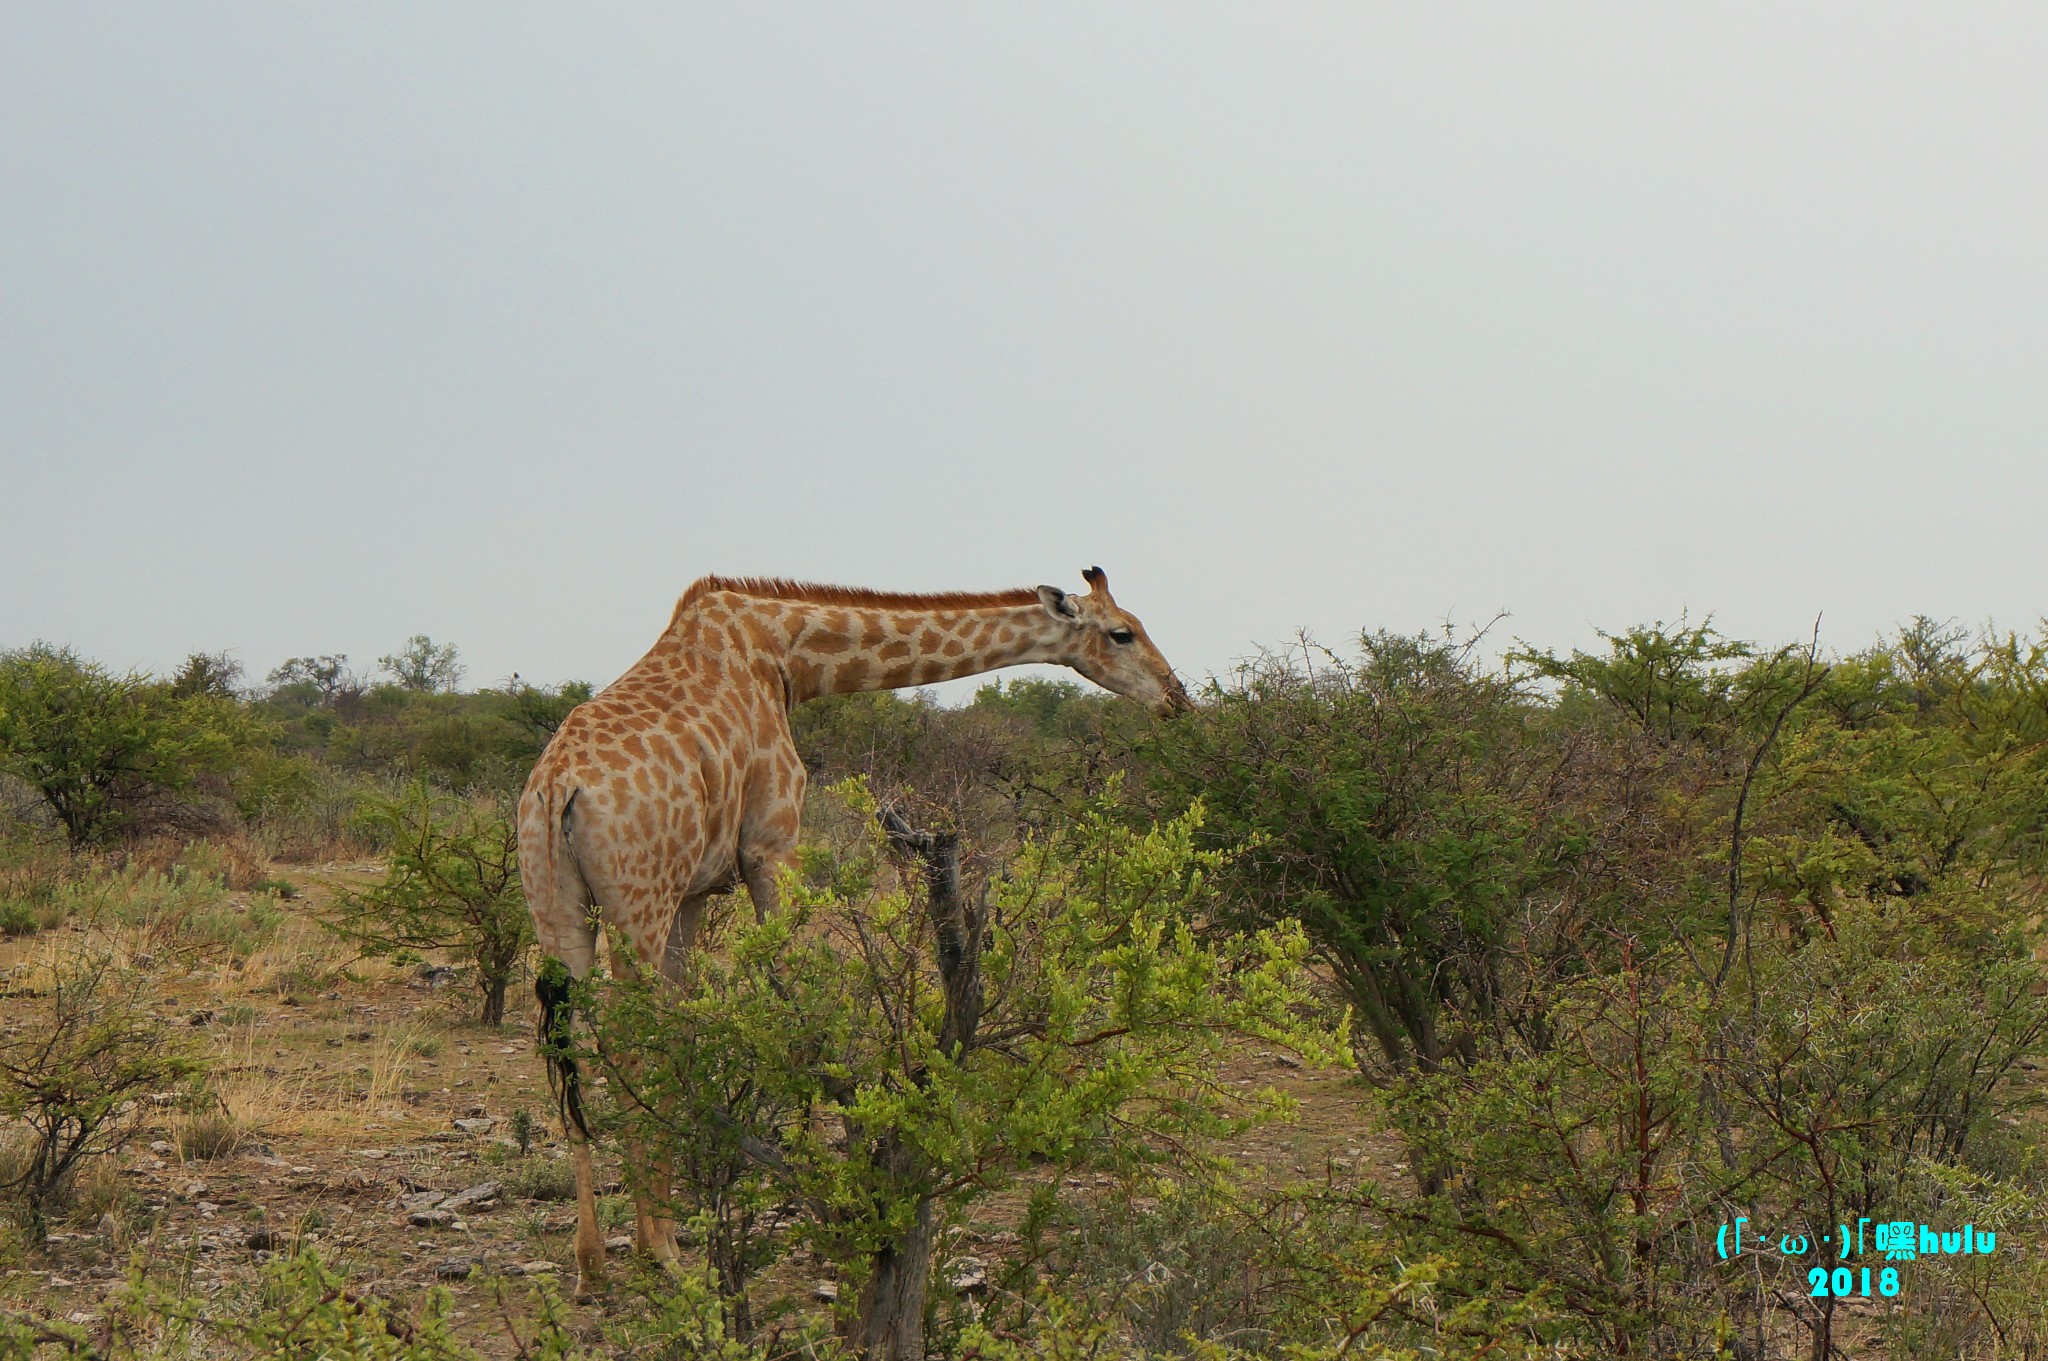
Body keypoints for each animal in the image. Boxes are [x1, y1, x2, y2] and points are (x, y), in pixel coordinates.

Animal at [516, 564, 1187, 1293]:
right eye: (1121, 632)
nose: (1176, 696)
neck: (788, 656)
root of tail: (556, 791)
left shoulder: (694, 888)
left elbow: (686, 1027)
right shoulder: (770, 846)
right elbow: (793, 1007)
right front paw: (814, 1176)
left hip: (558, 907)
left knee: (570, 1045)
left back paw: (593, 1261)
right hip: (636, 898)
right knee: (620, 1040)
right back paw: (654, 1249)